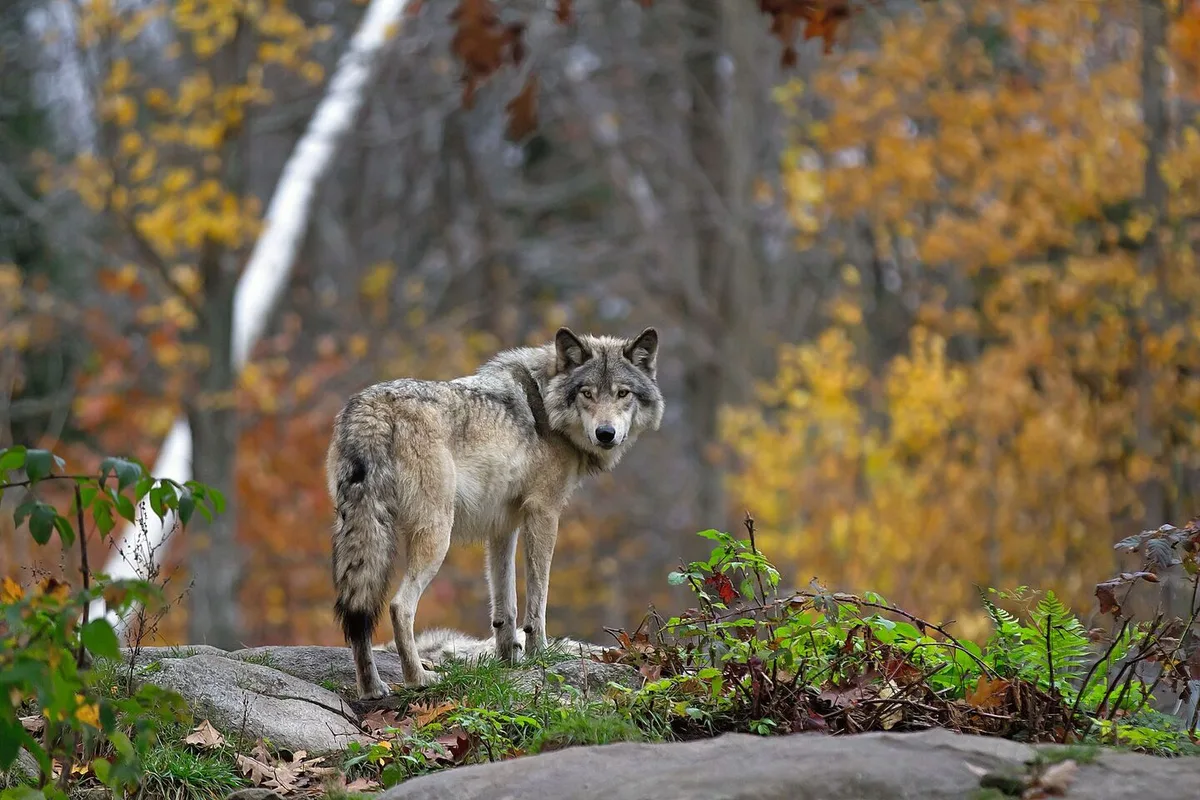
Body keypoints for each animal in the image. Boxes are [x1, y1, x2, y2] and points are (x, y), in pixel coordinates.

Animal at [327, 326, 664, 699]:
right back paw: (419, 679)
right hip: (436, 536)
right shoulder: (544, 513)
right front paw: (538, 655)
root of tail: (373, 406)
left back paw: (371, 688)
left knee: (358, 610)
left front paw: (508, 662)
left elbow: (506, 605)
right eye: (587, 393)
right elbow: (537, 600)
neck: (545, 403)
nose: (606, 434)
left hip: (360, 530)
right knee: (400, 606)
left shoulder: (503, 526)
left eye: (622, 393)